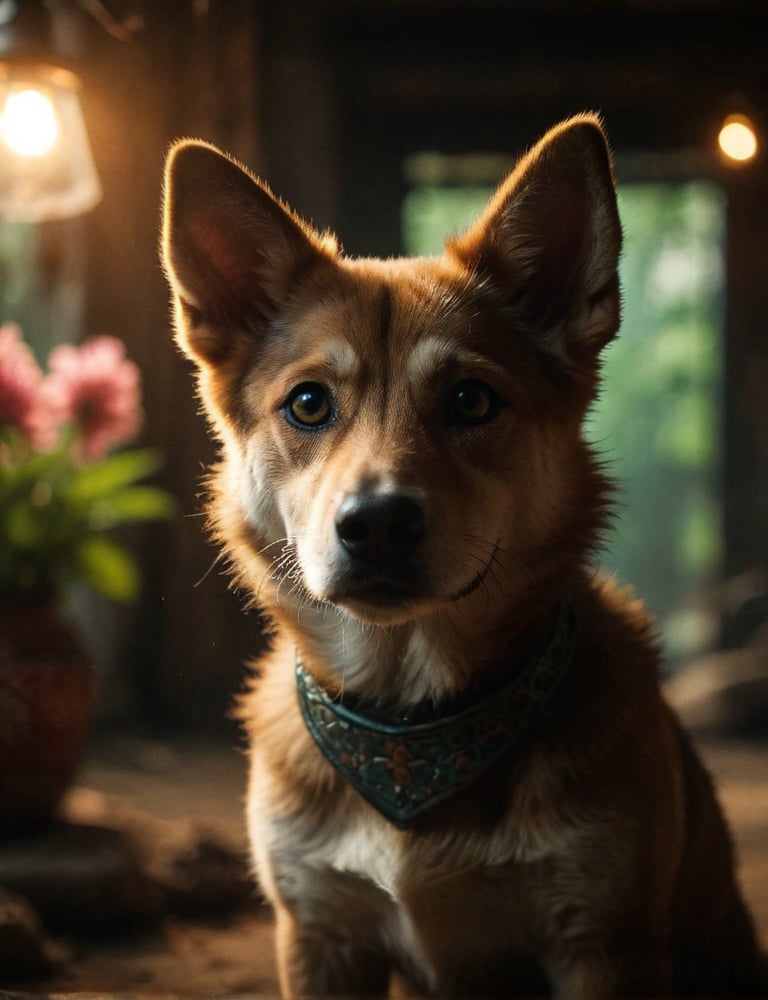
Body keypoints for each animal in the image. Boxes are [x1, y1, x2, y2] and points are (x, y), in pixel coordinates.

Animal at [160, 113, 760, 996]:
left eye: (470, 400)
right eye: (308, 404)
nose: (376, 523)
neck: (412, 731)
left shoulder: (603, 942)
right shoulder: (319, 936)